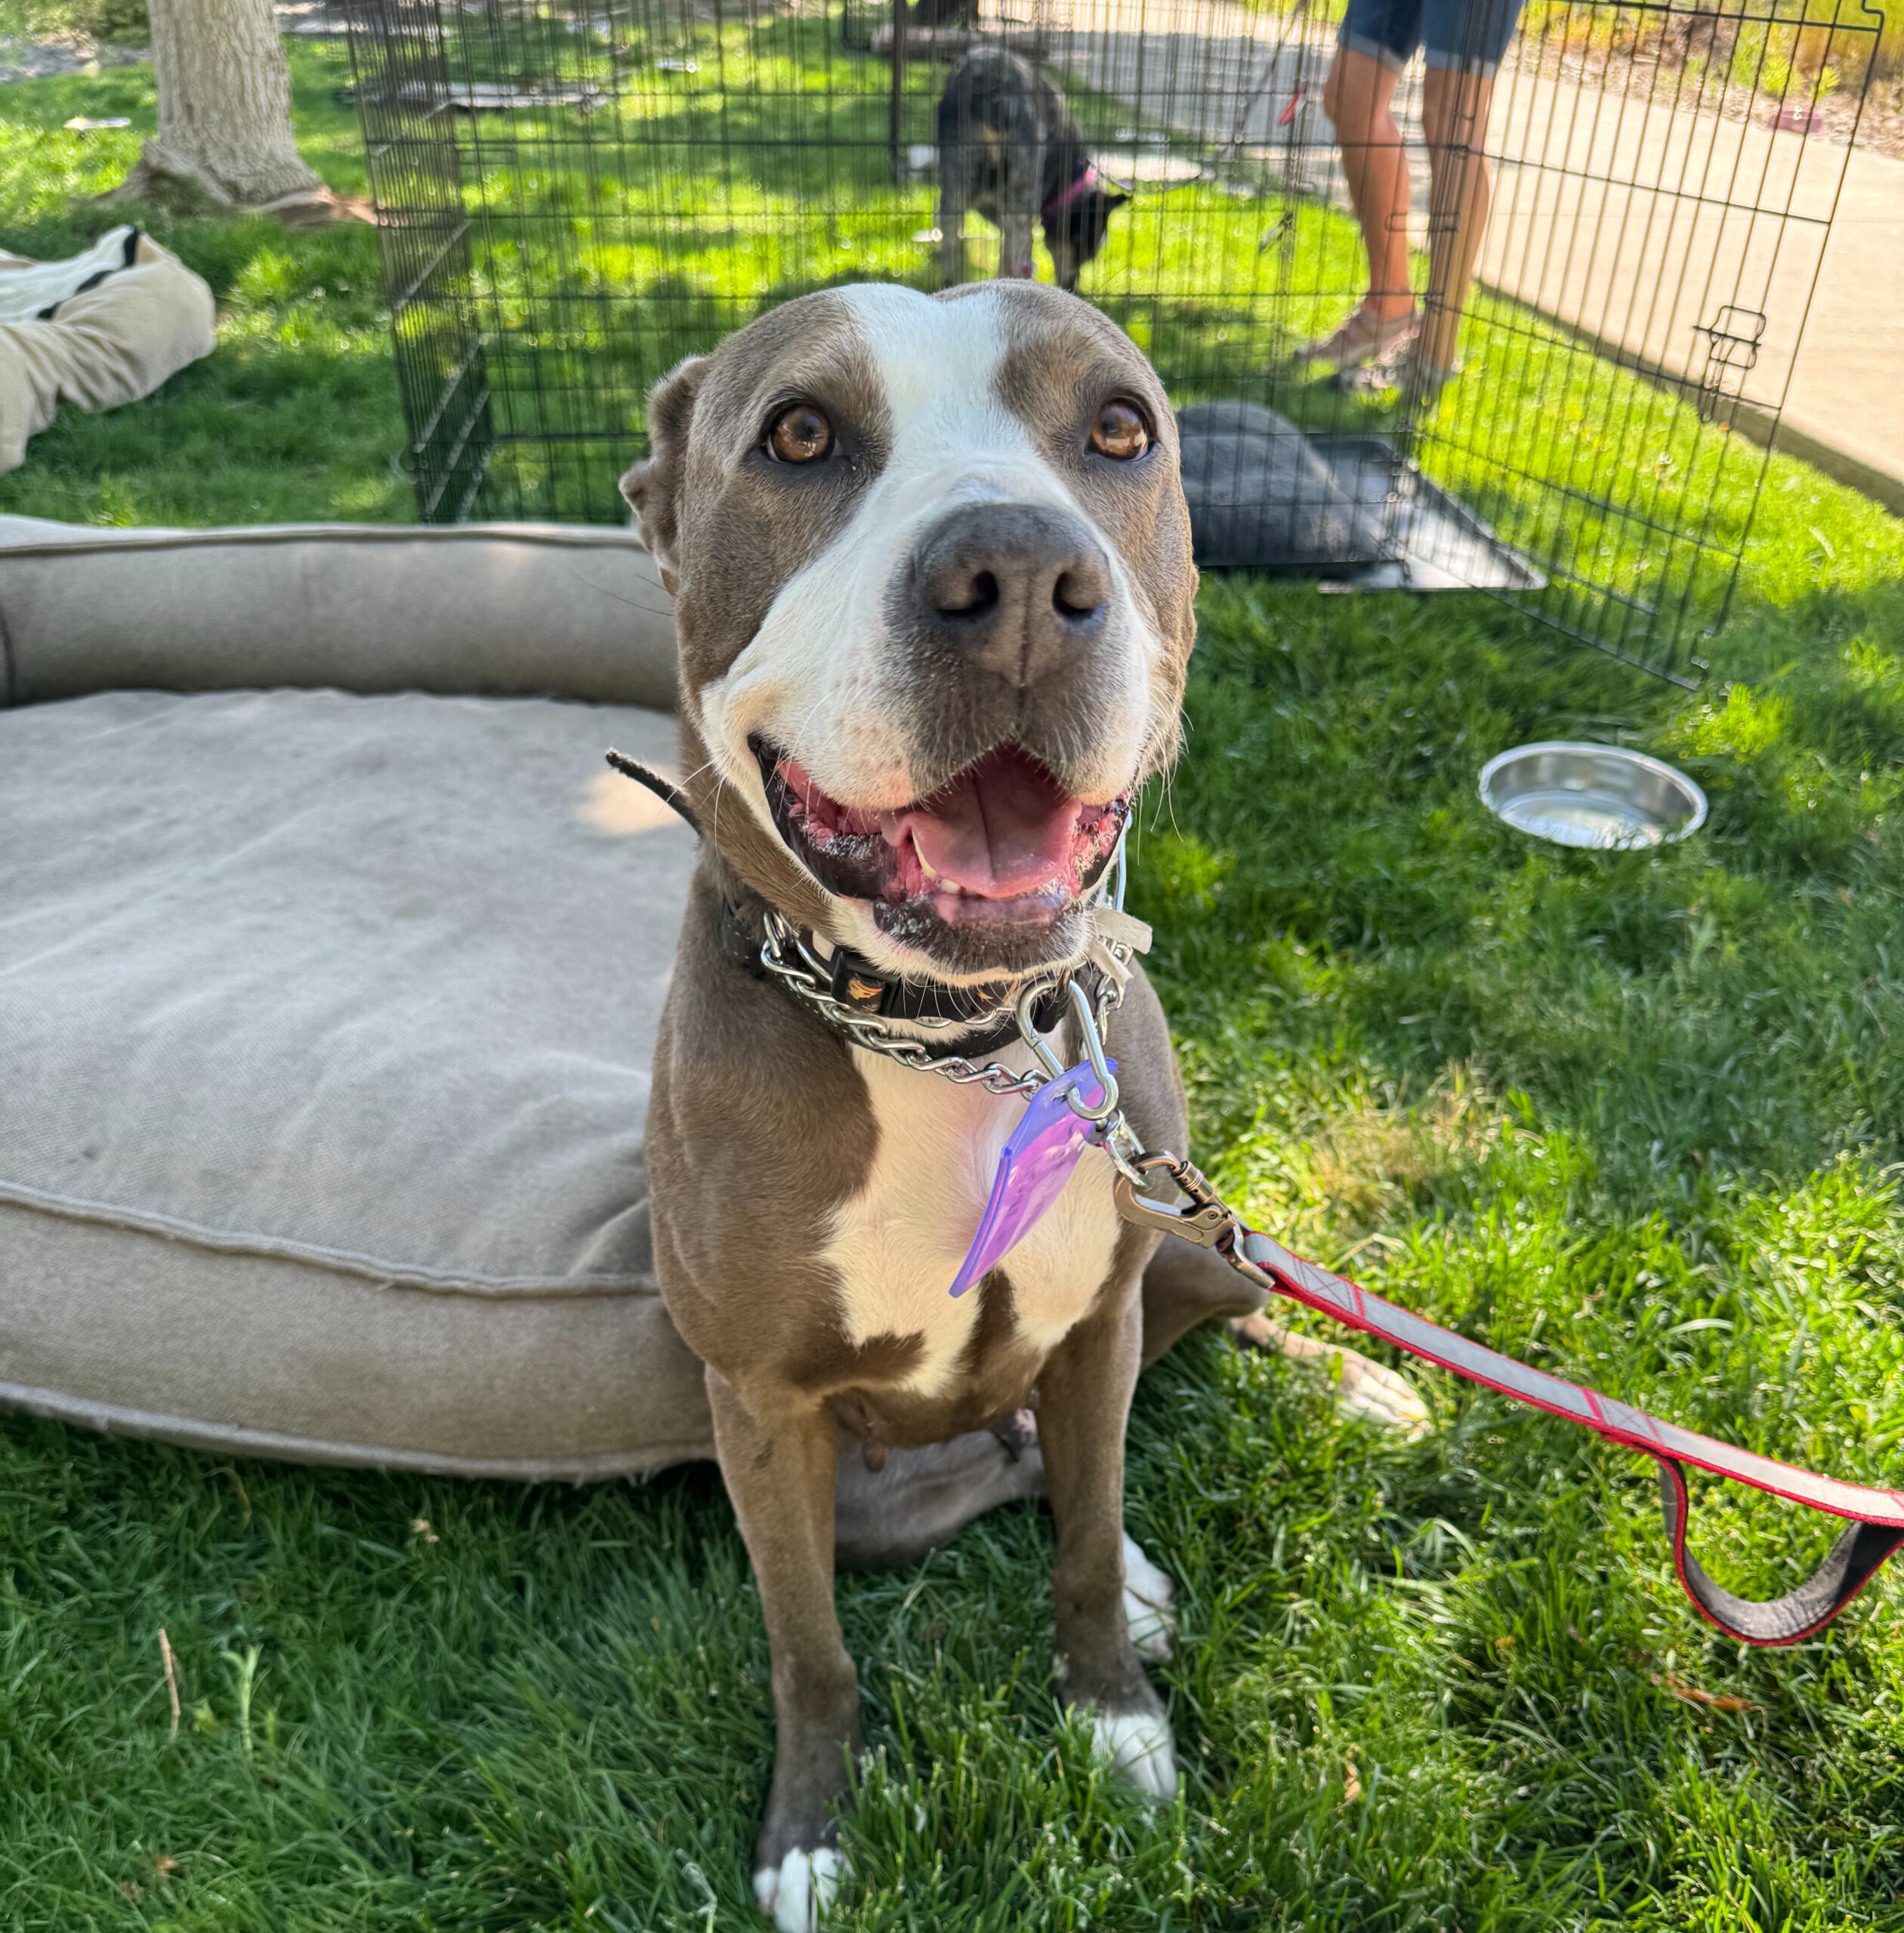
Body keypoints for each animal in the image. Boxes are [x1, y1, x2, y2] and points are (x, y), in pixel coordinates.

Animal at [619, 280, 1276, 1925]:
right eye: (798, 435)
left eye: (1120, 427)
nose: (1023, 575)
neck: (955, 1036)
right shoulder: (763, 1410)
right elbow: (808, 1649)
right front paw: (811, 1832)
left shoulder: (1100, 1323)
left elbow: (1087, 1550)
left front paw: (1116, 1724)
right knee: (1011, 1475)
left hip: (1199, 1258)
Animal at [939, 47, 1128, 290]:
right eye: (1083, 248)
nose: (1071, 287)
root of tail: (991, 82)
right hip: (1021, 195)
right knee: (1011, 261)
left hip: (954, 188)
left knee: (950, 256)